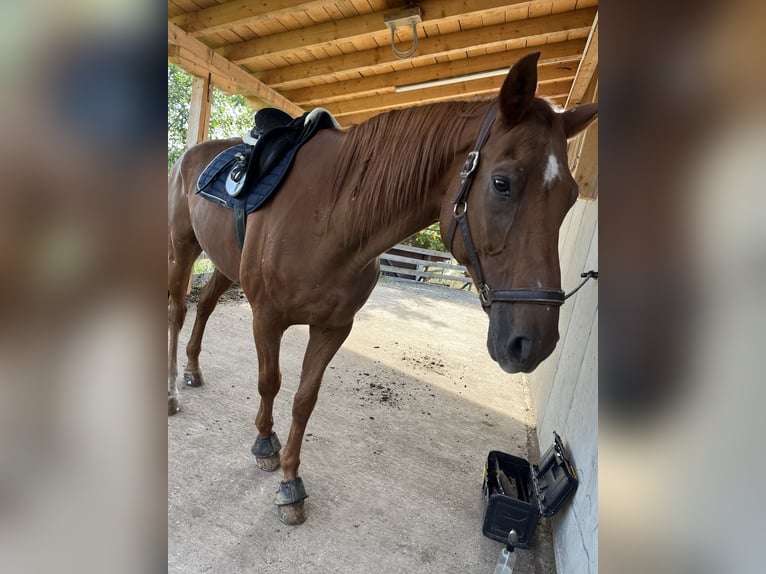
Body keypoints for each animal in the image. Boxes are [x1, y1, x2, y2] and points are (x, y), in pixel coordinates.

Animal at [168, 54, 600, 528]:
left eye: (570, 197)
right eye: (501, 183)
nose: (532, 343)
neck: (329, 216)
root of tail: (194, 153)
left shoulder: (333, 328)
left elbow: (303, 400)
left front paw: (290, 482)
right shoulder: (268, 317)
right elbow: (270, 382)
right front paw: (265, 444)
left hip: (223, 264)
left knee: (204, 308)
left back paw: (192, 370)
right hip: (182, 248)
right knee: (177, 311)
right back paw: (171, 393)